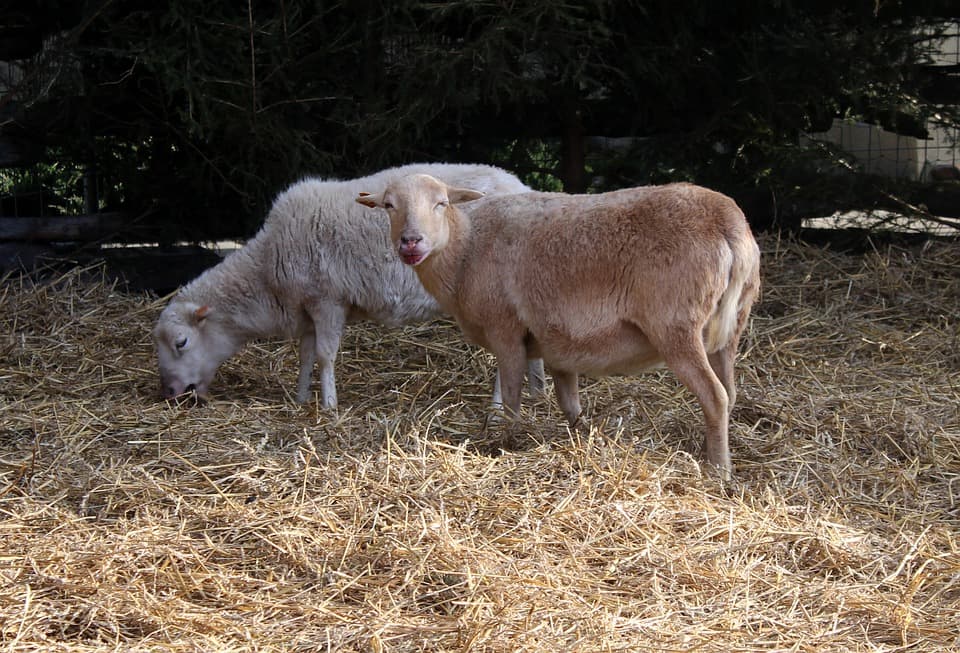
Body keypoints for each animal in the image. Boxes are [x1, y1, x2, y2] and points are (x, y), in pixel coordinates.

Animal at [153, 163, 546, 408]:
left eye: (181, 342)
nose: (169, 393)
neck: (266, 269)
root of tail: (523, 187)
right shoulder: (308, 307)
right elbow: (305, 354)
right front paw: (301, 398)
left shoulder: (327, 299)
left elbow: (325, 355)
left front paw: (329, 405)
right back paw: (538, 395)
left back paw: (499, 407)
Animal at [356, 174, 761, 476]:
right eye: (389, 205)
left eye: (440, 203)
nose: (411, 242)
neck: (466, 249)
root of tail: (728, 222)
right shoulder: (558, 344)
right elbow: (570, 404)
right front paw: (581, 438)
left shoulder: (505, 330)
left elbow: (512, 397)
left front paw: (507, 442)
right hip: (731, 327)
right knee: (729, 393)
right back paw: (712, 448)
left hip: (677, 325)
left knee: (714, 395)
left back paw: (718, 470)